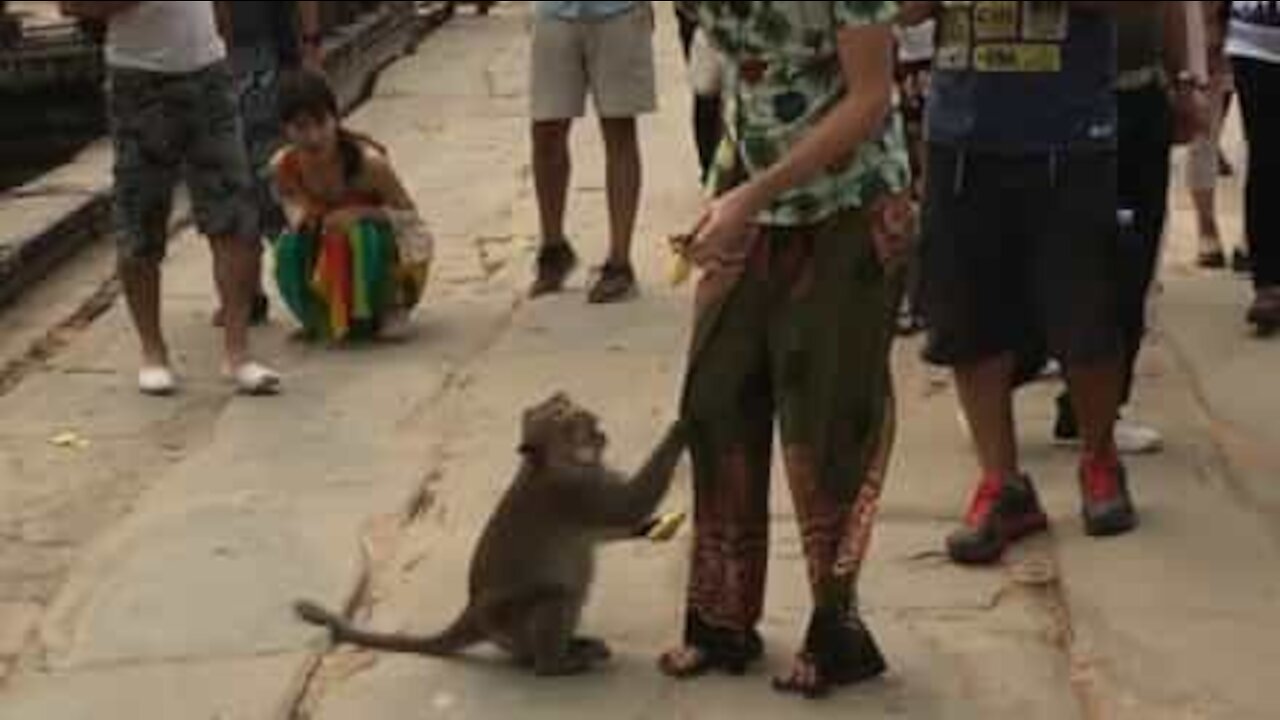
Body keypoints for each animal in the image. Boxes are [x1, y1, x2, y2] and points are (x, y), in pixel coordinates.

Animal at [294, 389, 691, 676]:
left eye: (564, 402)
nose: (583, 411)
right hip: (508, 618)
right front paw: (679, 429)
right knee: (558, 597)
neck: (554, 462)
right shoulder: (571, 493)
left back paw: (574, 646)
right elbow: (627, 505)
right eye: (562, 416)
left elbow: (610, 527)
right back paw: (558, 663)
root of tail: (473, 612)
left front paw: (653, 526)